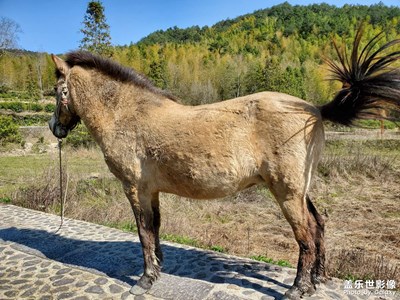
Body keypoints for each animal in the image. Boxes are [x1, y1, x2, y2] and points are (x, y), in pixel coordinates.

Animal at [47, 27, 400, 298]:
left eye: (56, 90)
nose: (54, 128)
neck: (128, 114)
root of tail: (313, 109)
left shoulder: (135, 189)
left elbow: (143, 232)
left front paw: (144, 280)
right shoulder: (152, 191)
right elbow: (155, 229)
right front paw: (158, 268)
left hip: (287, 194)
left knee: (307, 235)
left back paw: (298, 288)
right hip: (301, 190)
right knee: (320, 225)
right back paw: (317, 280)